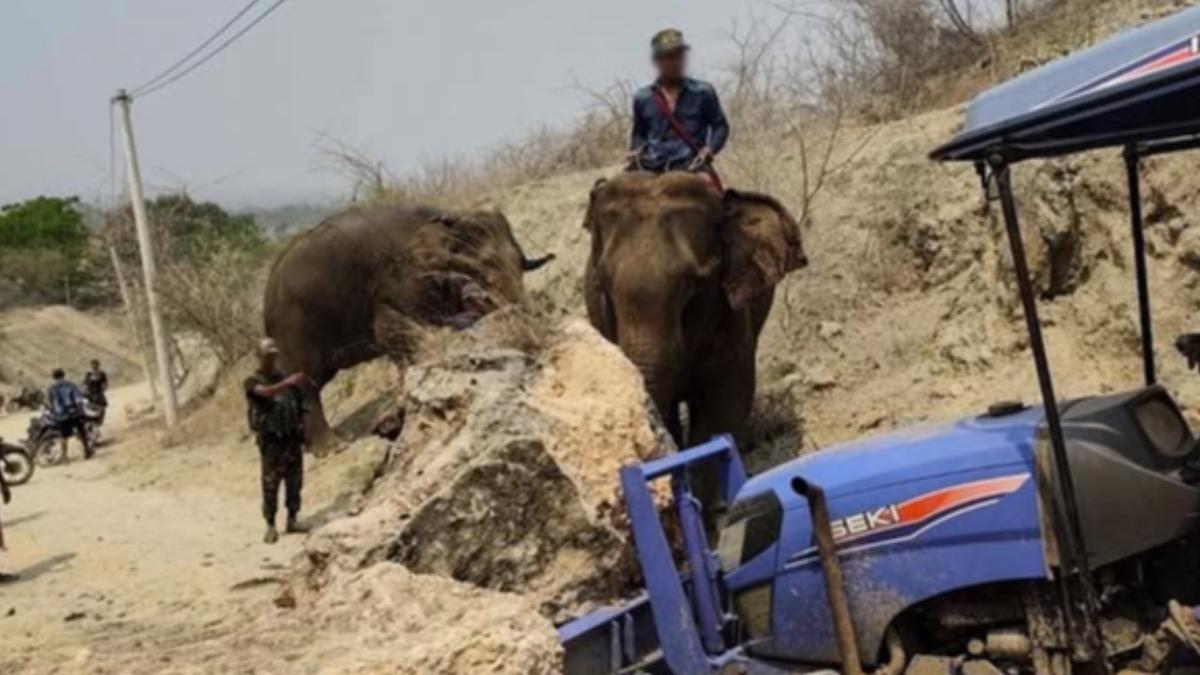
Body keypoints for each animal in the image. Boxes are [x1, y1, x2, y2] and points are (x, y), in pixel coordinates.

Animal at [264, 205, 553, 443]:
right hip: (292, 329)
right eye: (483, 268)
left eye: (521, 262)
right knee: (305, 382)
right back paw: (334, 447)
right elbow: (391, 333)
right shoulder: (393, 284)